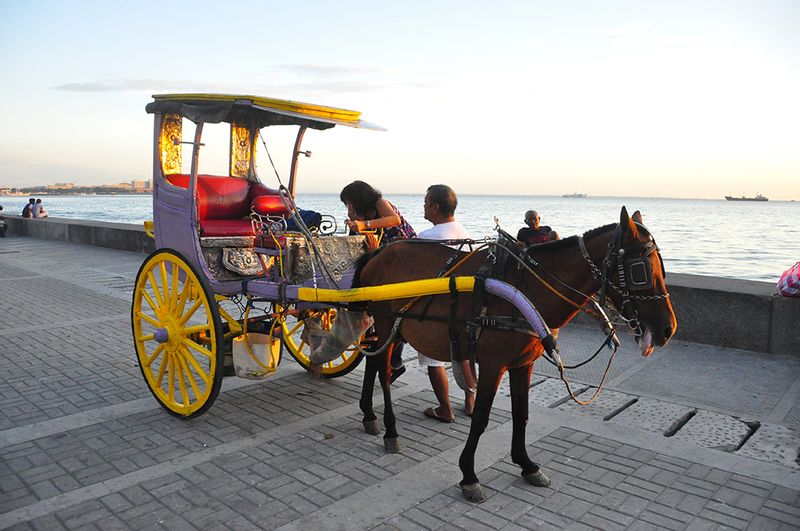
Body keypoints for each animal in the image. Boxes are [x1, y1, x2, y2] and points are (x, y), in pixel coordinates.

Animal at [352, 208, 676, 502]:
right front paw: (469, 475)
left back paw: (369, 414)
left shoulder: (523, 363)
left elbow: (522, 414)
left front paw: (526, 464)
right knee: (382, 372)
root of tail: (379, 251)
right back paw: (390, 431)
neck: (526, 289)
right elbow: (480, 418)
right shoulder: (493, 364)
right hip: (384, 320)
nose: (668, 328)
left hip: (394, 327)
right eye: (639, 271)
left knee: (374, 363)